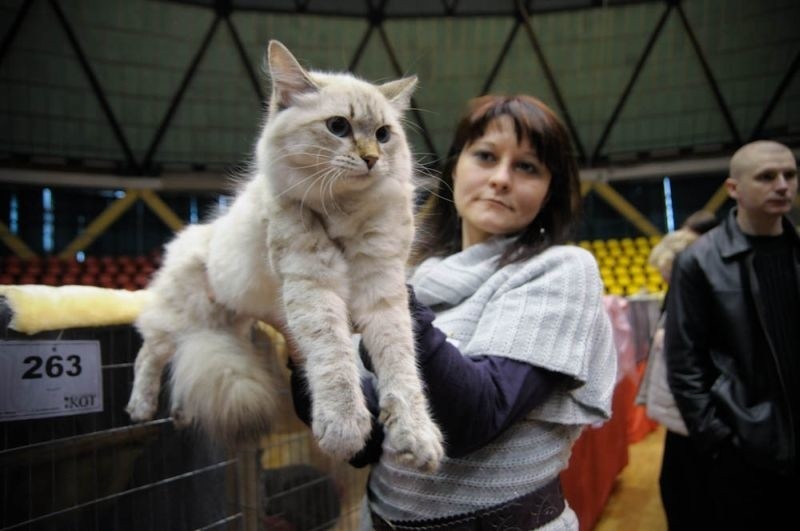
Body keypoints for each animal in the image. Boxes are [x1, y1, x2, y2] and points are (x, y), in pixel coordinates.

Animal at [128, 41, 446, 474]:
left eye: (383, 135)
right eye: (338, 127)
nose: (371, 159)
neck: (344, 211)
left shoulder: (383, 292)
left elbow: (402, 370)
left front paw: (416, 439)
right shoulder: (313, 286)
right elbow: (334, 361)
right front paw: (345, 428)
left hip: (219, 326)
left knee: (183, 360)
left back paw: (181, 412)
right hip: (183, 313)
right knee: (152, 352)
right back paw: (140, 407)